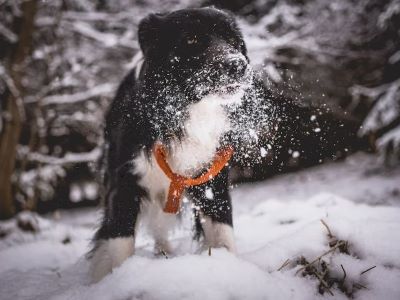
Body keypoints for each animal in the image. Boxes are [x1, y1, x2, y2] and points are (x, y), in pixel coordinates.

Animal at [88, 7, 260, 284]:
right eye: (191, 39)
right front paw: (116, 280)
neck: (184, 113)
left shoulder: (212, 179)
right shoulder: (124, 182)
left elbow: (222, 229)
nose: (237, 64)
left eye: (234, 40)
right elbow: (120, 241)